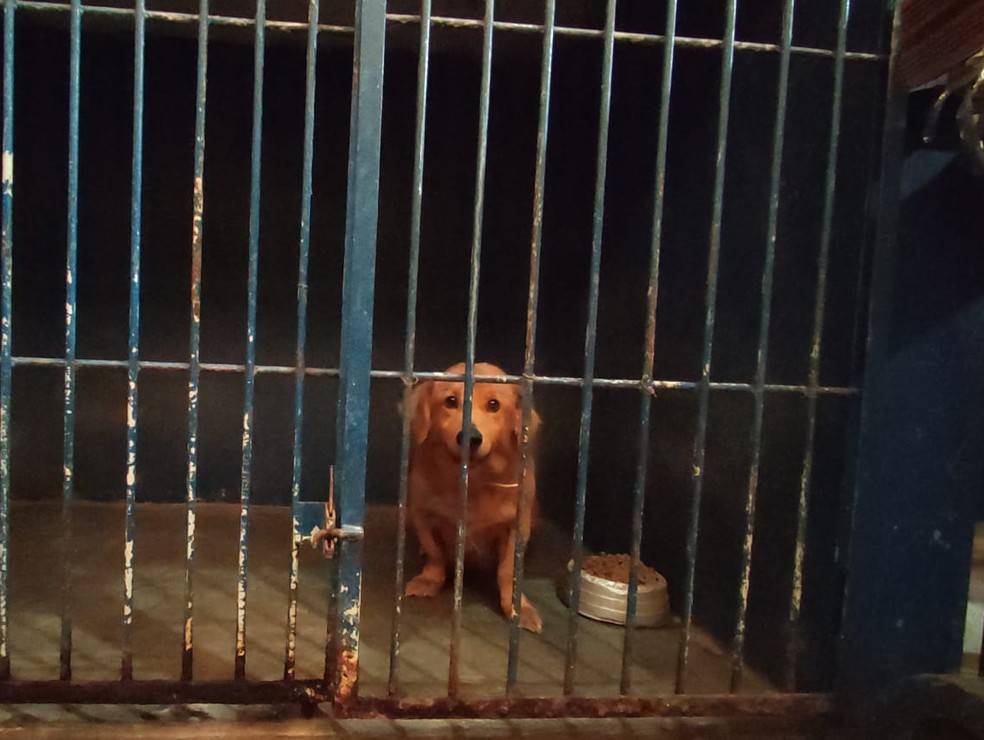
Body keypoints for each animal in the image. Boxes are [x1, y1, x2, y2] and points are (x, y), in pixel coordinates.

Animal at [404, 362, 543, 633]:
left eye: (494, 405)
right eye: (450, 401)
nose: (470, 437)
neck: (473, 480)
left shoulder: (516, 526)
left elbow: (507, 570)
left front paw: (518, 608)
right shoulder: (422, 513)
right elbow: (434, 552)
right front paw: (428, 580)